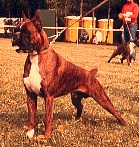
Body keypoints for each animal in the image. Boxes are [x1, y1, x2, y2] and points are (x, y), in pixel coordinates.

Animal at [11, 10, 126, 139]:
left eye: (26, 31)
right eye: (15, 30)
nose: (15, 36)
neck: (36, 56)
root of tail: (90, 74)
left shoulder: (48, 97)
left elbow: (48, 118)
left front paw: (46, 137)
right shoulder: (30, 95)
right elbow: (31, 116)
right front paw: (30, 134)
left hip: (101, 98)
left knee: (115, 111)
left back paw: (124, 125)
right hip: (75, 98)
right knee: (80, 107)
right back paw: (77, 119)